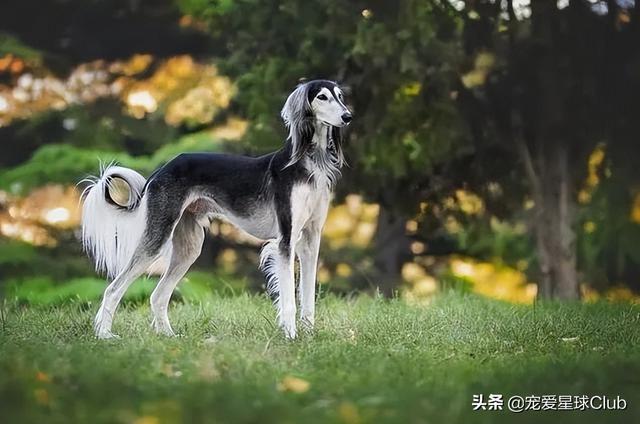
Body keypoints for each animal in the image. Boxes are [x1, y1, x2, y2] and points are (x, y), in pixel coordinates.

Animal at [80, 78, 352, 338]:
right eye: (322, 97)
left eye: (340, 96)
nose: (347, 116)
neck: (309, 163)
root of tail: (162, 169)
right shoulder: (286, 240)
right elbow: (289, 300)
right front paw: (290, 336)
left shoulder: (310, 240)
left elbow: (308, 296)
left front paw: (308, 335)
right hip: (157, 237)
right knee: (113, 289)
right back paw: (104, 335)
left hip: (189, 247)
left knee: (158, 295)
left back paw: (169, 336)